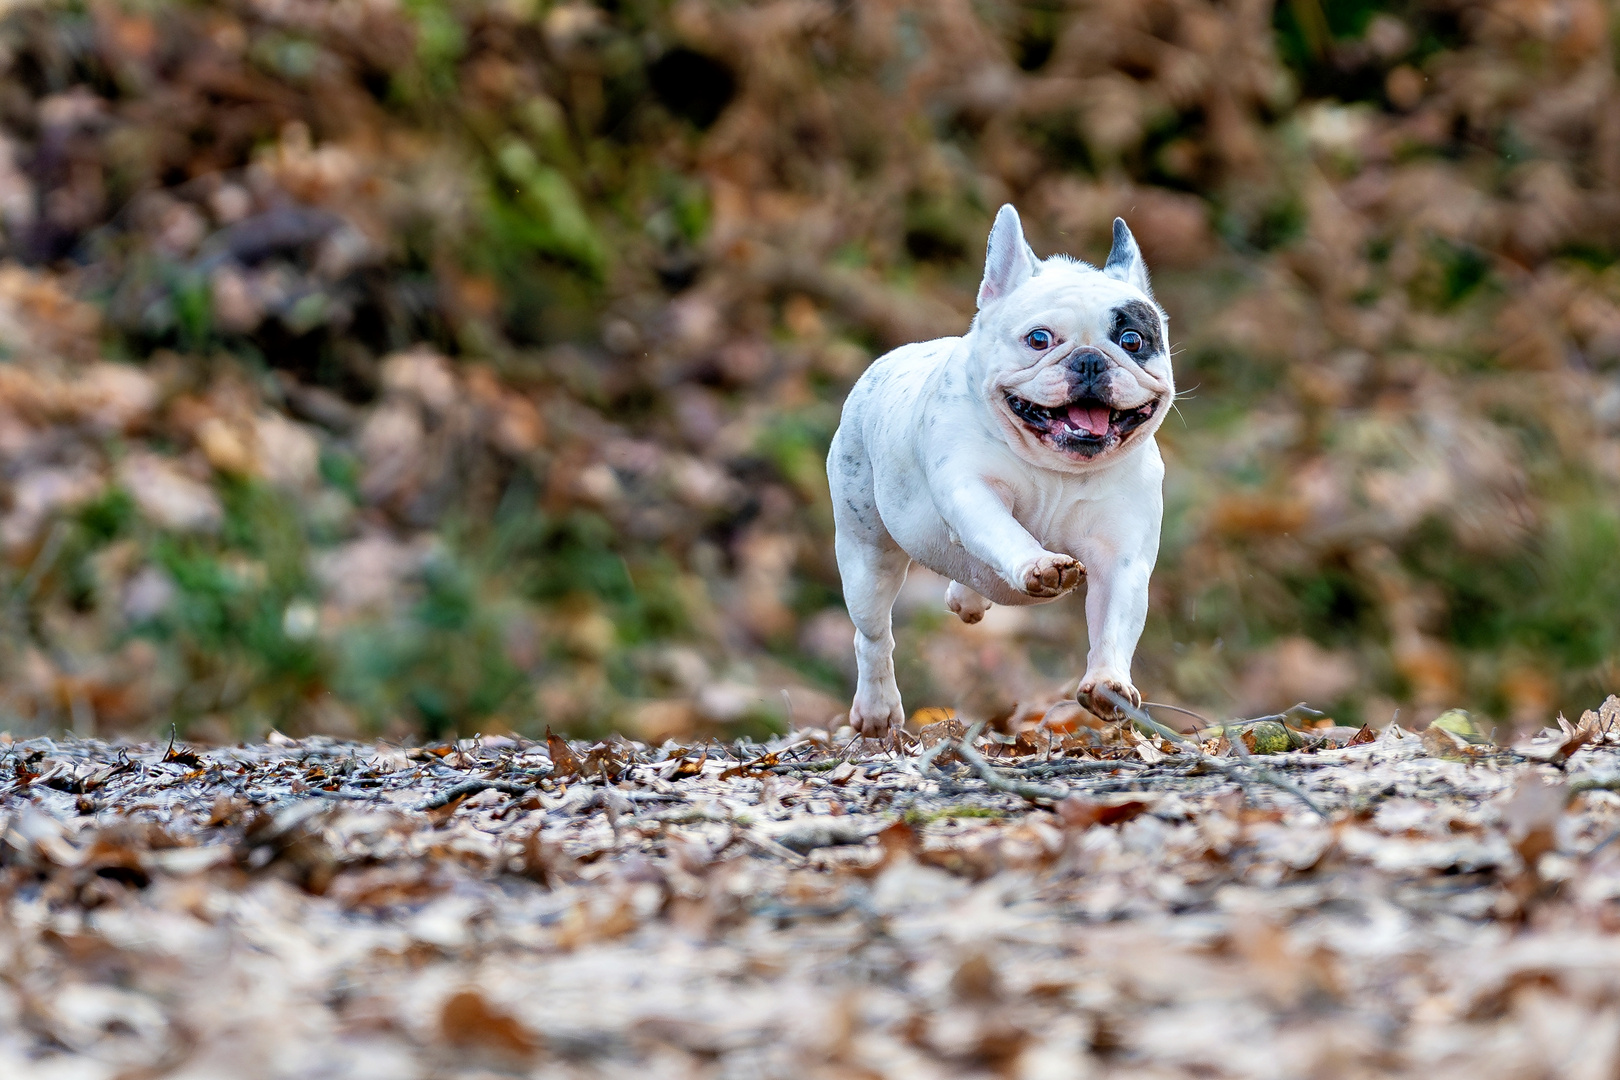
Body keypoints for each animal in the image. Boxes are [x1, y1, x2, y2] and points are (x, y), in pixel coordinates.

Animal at [829, 204, 1172, 735]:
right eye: (1039, 339)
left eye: (1133, 340)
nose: (1090, 360)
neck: (1057, 469)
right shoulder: (971, 491)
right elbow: (1005, 530)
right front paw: (1039, 564)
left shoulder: (1122, 555)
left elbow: (1115, 621)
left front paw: (1109, 684)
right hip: (865, 553)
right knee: (873, 635)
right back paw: (877, 708)